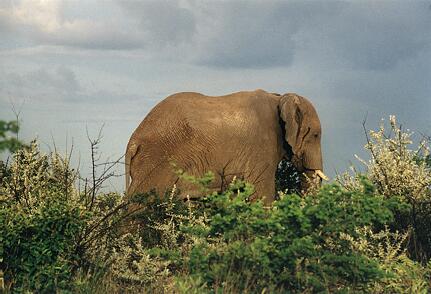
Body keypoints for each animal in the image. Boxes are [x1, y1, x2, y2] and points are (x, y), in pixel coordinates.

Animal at [125, 88, 328, 206]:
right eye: (315, 135)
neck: (278, 98)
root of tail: (133, 140)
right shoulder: (263, 144)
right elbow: (263, 193)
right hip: (157, 162)